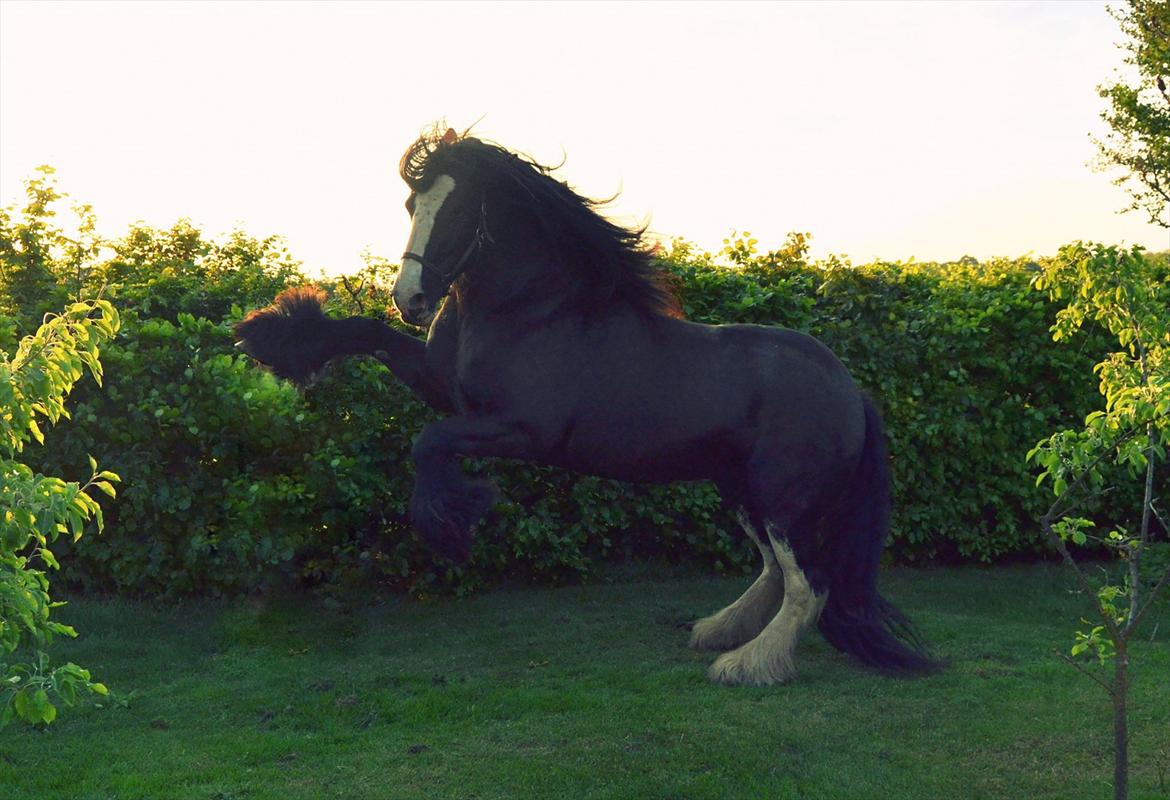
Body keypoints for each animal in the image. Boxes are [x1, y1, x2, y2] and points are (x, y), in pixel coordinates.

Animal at [237, 126, 940, 687]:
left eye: (458, 210)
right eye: (413, 204)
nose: (410, 297)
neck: (529, 310)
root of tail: (851, 390)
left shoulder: (519, 430)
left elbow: (427, 442)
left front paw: (452, 522)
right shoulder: (441, 383)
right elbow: (365, 335)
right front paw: (272, 337)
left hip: (785, 497)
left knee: (807, 585)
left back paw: (746, 666)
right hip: (741, 488)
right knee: (774, 573)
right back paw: (717, 632)